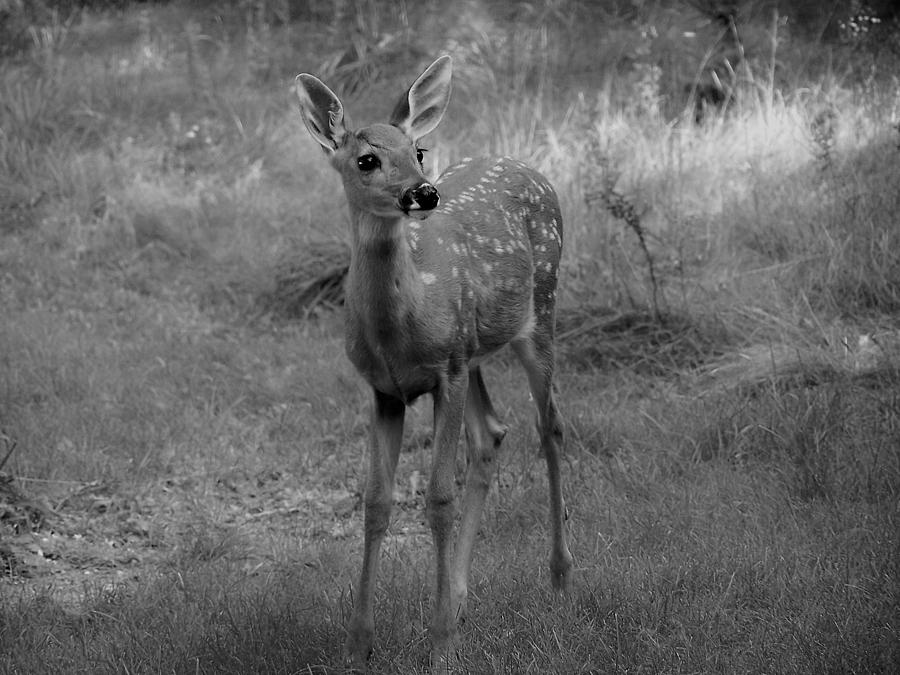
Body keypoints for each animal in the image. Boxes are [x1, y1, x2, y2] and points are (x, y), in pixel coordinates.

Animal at [298, 56, 572, 672]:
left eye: (419, 150)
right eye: (367, 159)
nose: (424, 192)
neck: (400, 327)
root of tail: (528, 166)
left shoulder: (444, 372)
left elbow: (439, 498)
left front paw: (442, 642)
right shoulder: (385, 390)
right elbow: (376, 502)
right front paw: (359, 643)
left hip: (539, 311)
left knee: (550, 427)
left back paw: (560, 577)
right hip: (472, 351)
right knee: (492, 431)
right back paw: (464, 594)